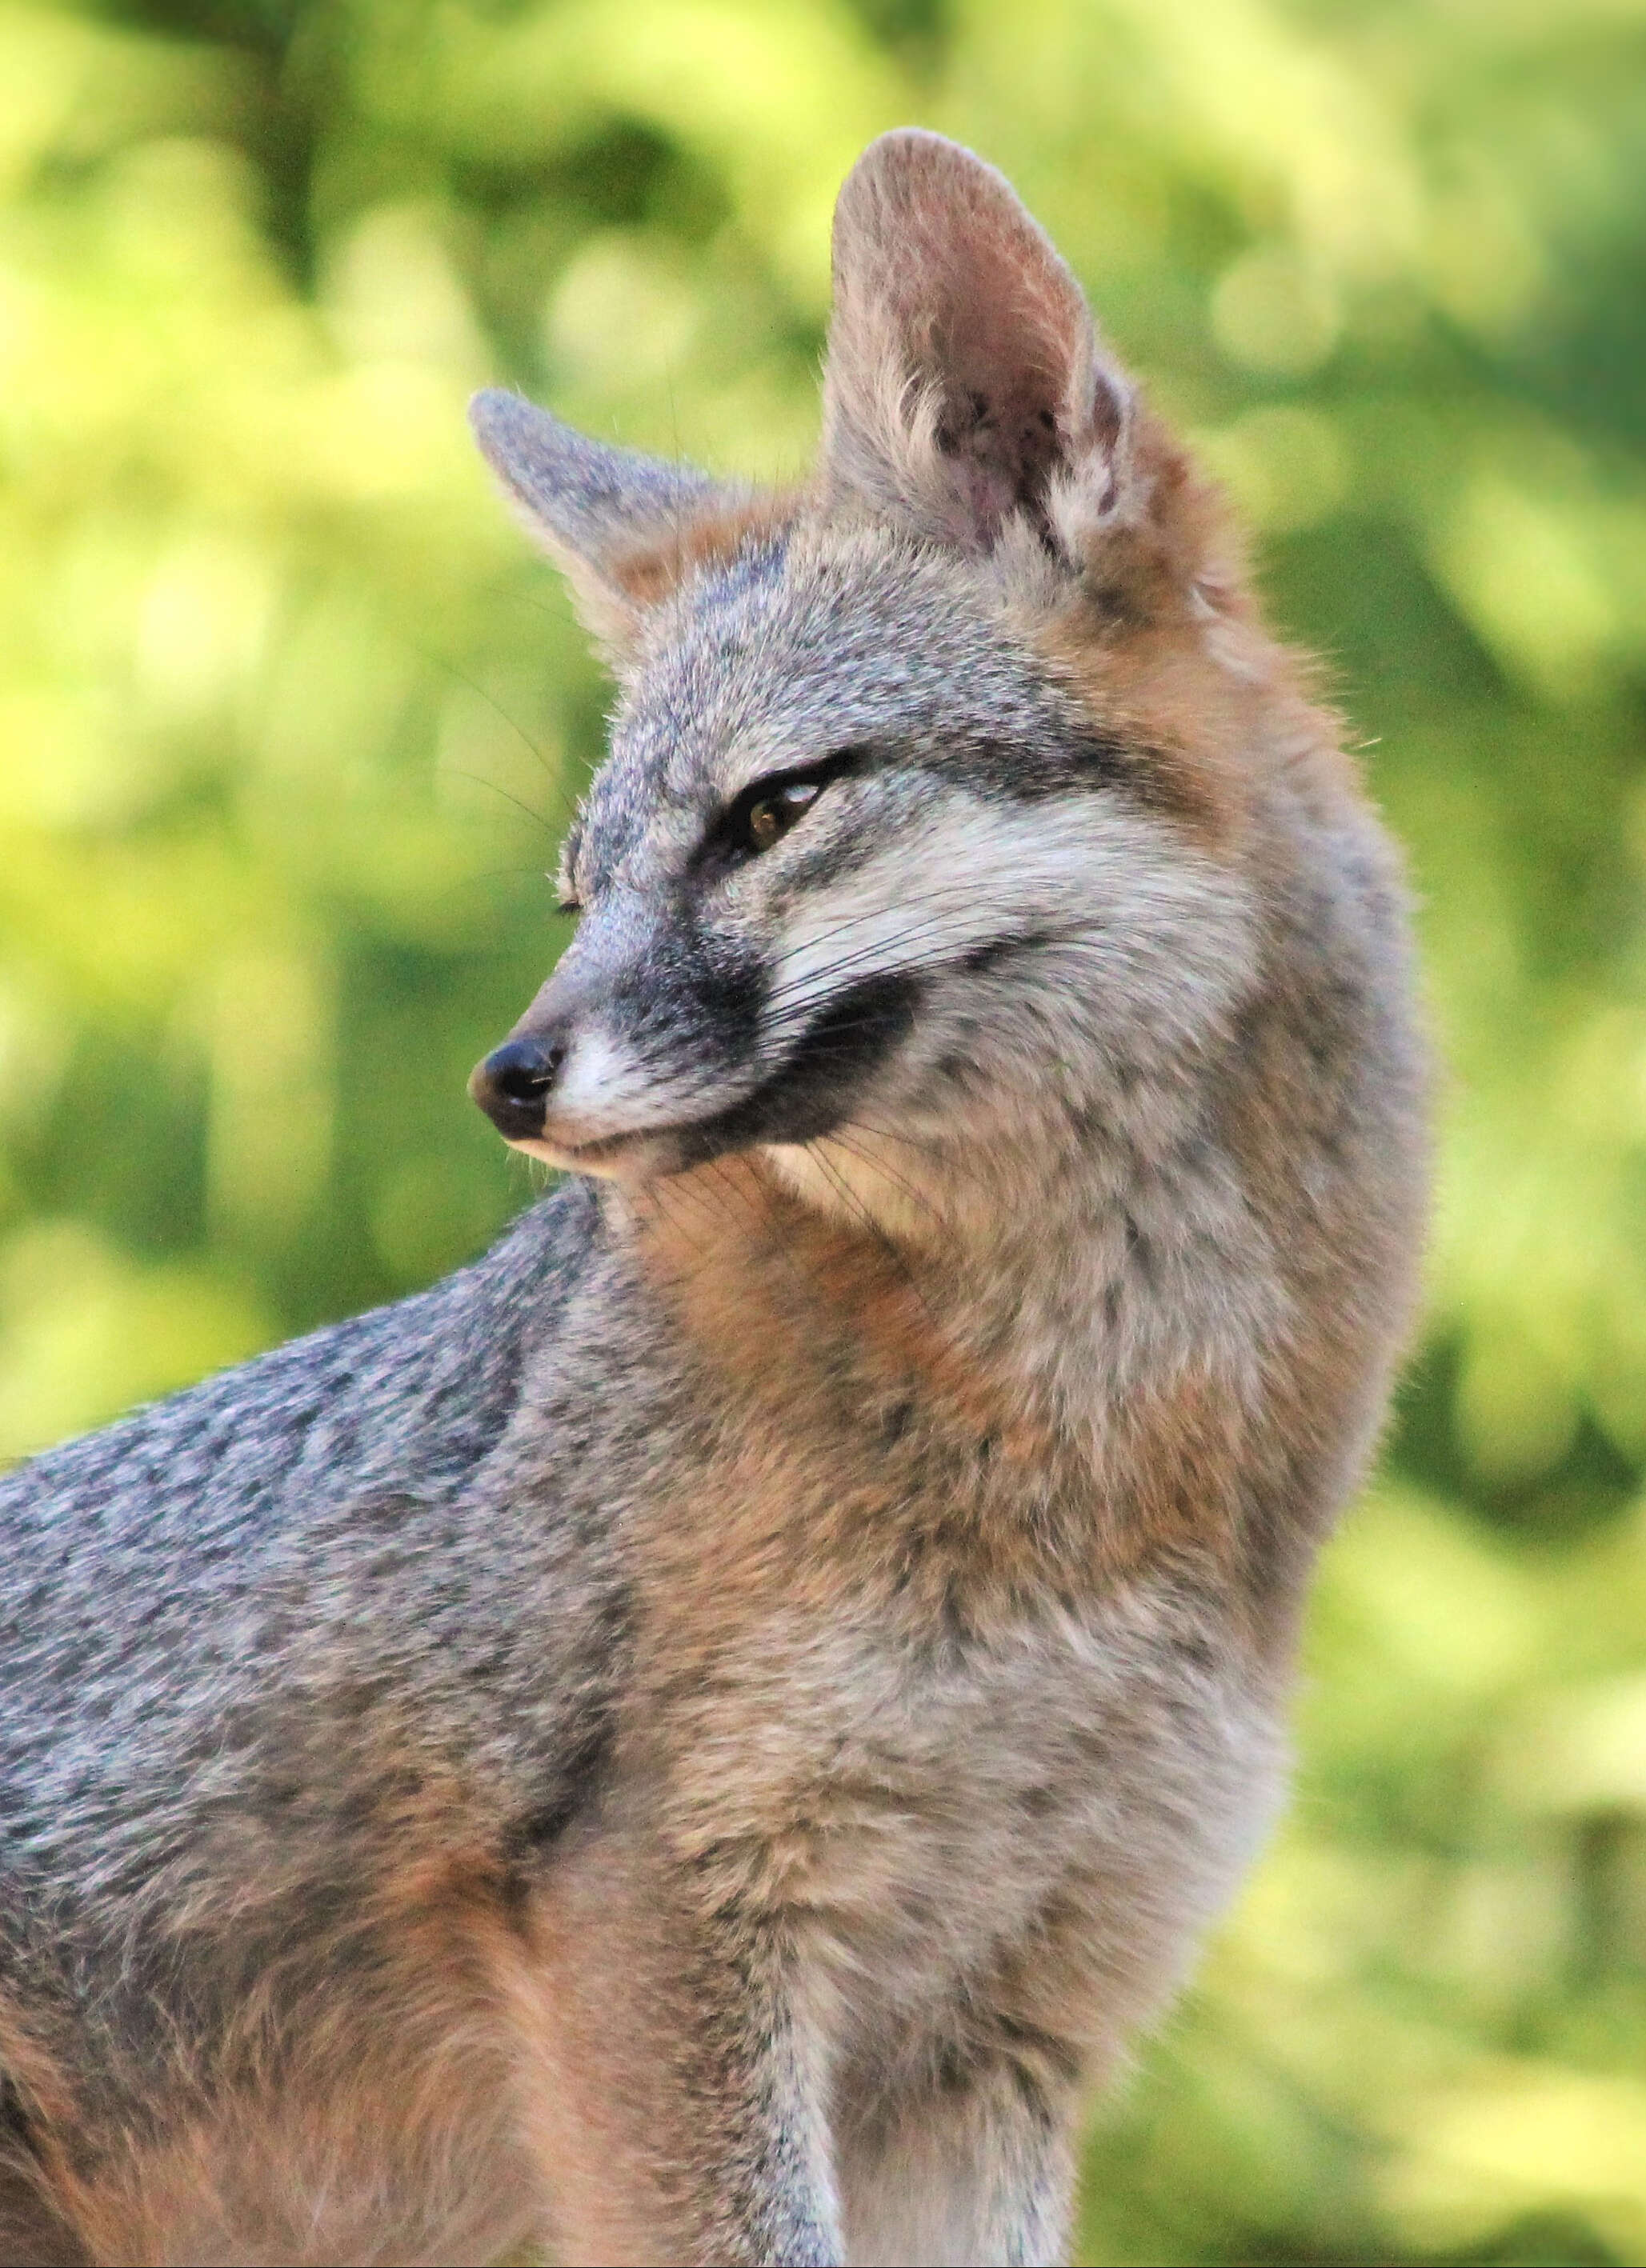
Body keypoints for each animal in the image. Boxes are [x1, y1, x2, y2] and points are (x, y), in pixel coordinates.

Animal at [0, 132, 1432, 2258]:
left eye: (774, 811)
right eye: (576, 893)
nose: (505, 1082)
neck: (1098, 1450)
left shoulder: (1002, 2035)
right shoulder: (668, 1920)